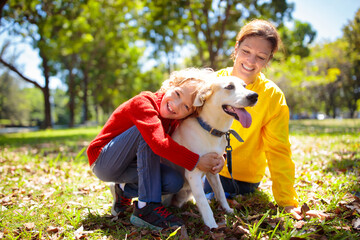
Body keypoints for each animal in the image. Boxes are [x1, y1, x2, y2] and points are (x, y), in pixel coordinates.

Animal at [167, 74, 258, 228]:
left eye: (244, 86)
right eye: (229, 86)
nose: (254, 96)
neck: (210, 130)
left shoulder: (213, 171)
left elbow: (220, 192)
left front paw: (227, 210)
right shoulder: (194, 174)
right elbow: (204, 204)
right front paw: (212, 226)